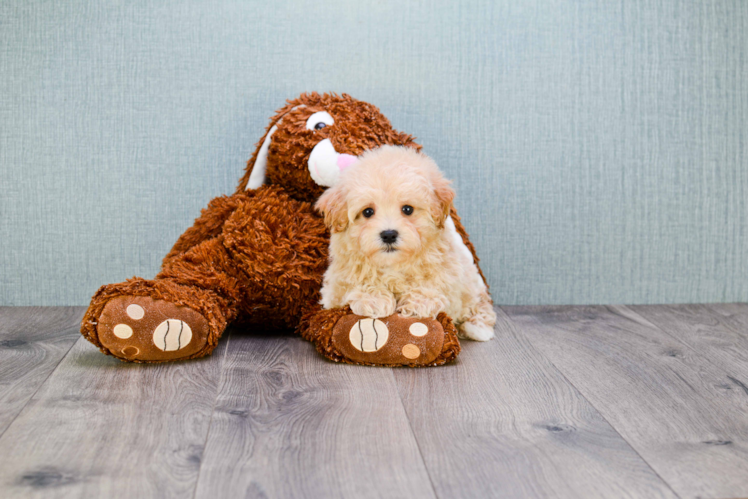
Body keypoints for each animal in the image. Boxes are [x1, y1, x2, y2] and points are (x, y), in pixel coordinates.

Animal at [316, 145, 496, 340]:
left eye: (407, 209)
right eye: (368, 212)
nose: (388, 235)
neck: (393, 264)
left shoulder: (448, 275)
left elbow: (435, 285)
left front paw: (419, 302)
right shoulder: (335, 287)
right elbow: (353, 284)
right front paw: (373, 299)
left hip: (473, 284)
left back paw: (477, 326)